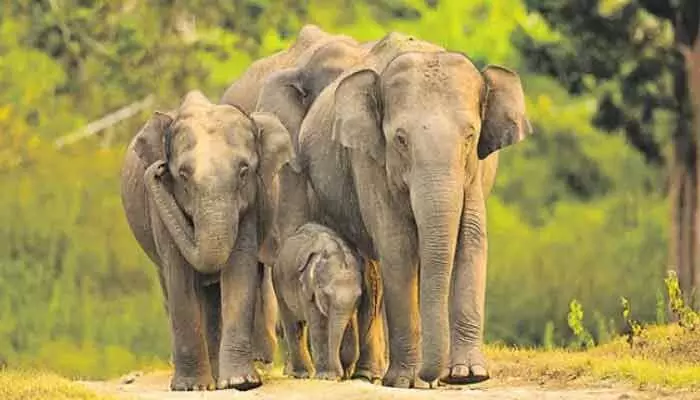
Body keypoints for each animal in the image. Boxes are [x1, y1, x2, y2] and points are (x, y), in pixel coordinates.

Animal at [119, 91, 295, 391]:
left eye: (244, 171)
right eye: (182, 175)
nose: (158, 168)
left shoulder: (251, 204)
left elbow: (239, 269)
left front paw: (240, 383)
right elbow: (178, 274)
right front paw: (191, 387)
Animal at [272, 222, 382, 381]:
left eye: (359, 296)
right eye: (326, 294)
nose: (341, 374)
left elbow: (348, 326)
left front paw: (344, 374)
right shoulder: (308, 290)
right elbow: (320, 327)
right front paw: (327, 377)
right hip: (278, 283)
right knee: (294, 326)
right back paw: (302, 374)